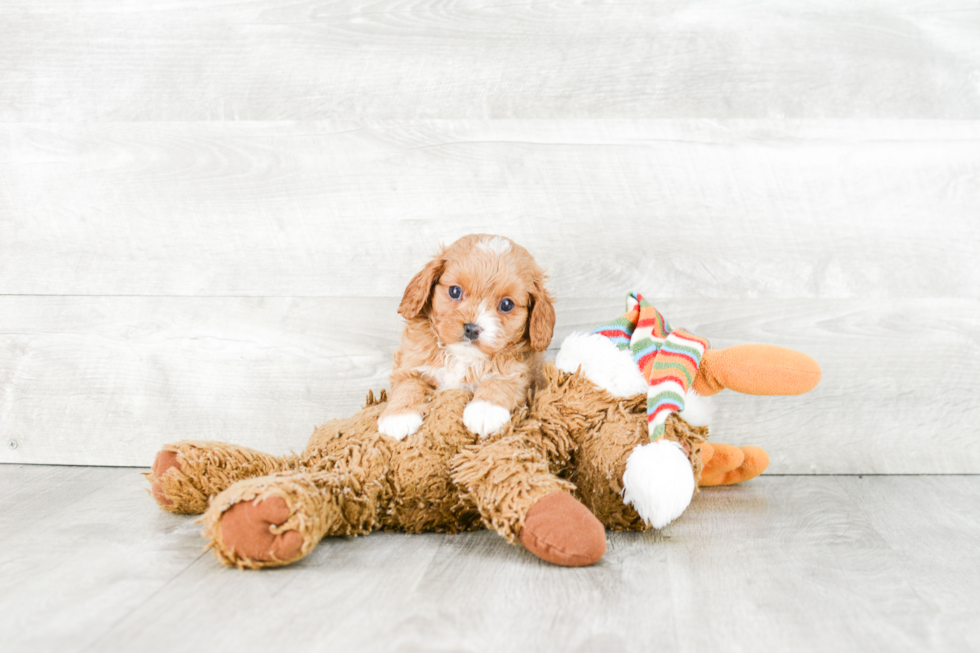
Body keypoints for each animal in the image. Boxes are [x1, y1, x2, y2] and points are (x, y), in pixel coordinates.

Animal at [378, 232, 556, 440]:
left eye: (506, 304)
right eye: (455, 291)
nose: (472, 328)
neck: (462, 356)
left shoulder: (521, 369)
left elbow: (501, 380)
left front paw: (485, 410)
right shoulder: (411, 360)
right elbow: (407, 383)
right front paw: (398, 415)